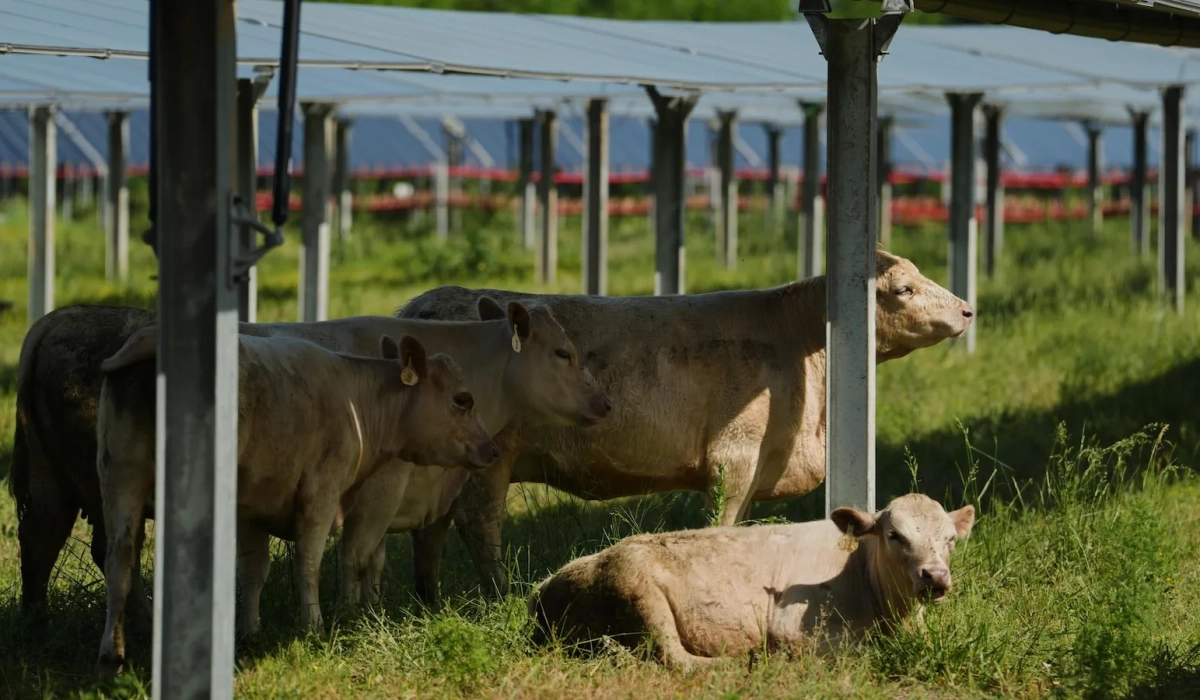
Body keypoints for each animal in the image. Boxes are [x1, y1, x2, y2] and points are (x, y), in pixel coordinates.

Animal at [93, 330, 498, 676]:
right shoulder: (321, 494)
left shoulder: (251, 510)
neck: (356, 401)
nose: (492, 449)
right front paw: (321, 624)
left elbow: (254, 570)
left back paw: (112, 651)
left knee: (120, 558)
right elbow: (315, 562)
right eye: (463, 400)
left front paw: (250, 630)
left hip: (120, 475)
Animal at [398, 248, 974, 603]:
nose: (968, 309)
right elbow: (723, 523)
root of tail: (423, 304)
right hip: (487, 460)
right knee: (478, 523)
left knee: (432, 528)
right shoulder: (735, 455)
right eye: (904, 288)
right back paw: (500, 593)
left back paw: (430, 600)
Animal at [528, 493, 977, 670]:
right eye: (894, 535)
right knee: (678, 658)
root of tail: (546, 584)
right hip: (639, 590)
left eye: (950, 540)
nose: (935, 576)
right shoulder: (793, 628)